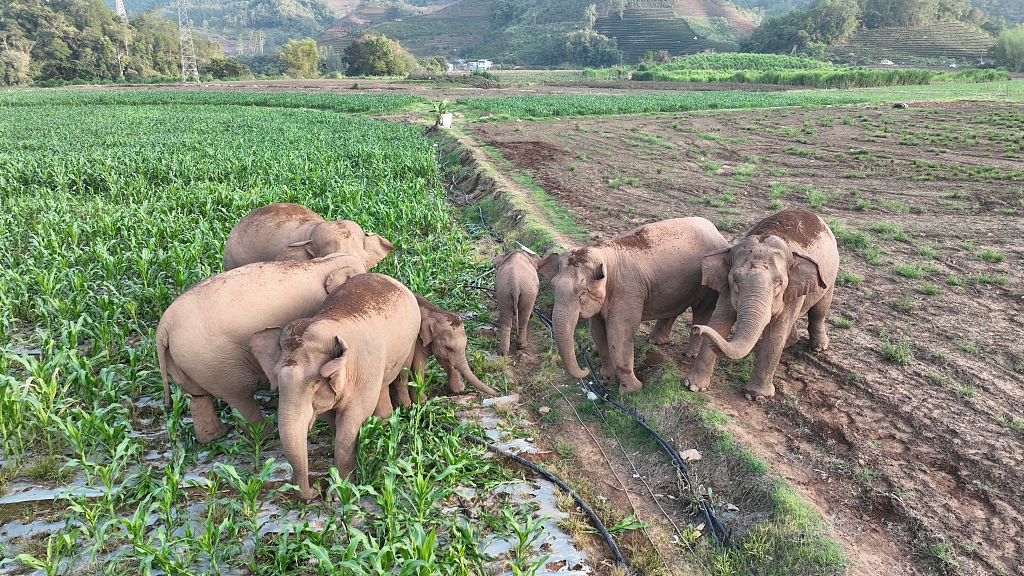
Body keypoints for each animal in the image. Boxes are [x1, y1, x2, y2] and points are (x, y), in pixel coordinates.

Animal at [157, 253, 366, 440]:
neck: (324, 263)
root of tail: (164, 326)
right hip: (214, 363)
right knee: (239, 397)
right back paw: (266, 435)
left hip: (181, 361)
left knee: (197, 397)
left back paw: (216, 436)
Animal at [249, 270, 421, 496]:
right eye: (276, 377)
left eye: (316, 381)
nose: (315, 492)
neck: (330, 322)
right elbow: (332, 419)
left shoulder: (365, 372)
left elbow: (349, 425)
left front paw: (341, 492)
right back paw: (385, 423)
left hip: (411, 338)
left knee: (401, 374)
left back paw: (404, 409)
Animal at [540, 217, 733, 391]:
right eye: (553, 287)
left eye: (582, 293)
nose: (586, 369)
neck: (604, 254)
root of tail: (716, 230)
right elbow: (597, 332)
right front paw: (607, 377)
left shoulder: (627, 292)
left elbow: (619, 336)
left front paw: (632, 390)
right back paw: (656, 341)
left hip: (708, 282)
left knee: (702, 310)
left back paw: (689, 354)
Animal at [688, 208, 839, 401]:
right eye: (735, 280)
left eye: (779, 283)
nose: (696, 328)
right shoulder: (726, 289)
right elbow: (719, 322)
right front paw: (693, 386)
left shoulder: (792, 289)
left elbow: (776, 333)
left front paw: (756, 396)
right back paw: (791, 343)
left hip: (830, 277)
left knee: (819, 311)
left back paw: (819, 347)